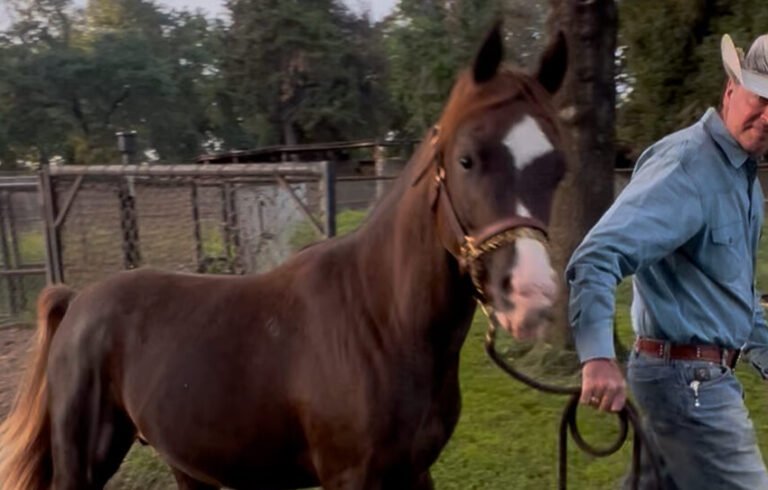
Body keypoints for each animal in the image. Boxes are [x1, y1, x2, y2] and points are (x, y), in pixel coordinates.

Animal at [0, 23, 568, 490]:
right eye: (467, 159)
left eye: (558, 168)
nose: (531, 296)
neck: (379, 319)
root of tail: (77, 301)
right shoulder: (352, 477)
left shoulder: (416, 473)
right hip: (84, 462)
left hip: (187, 464)